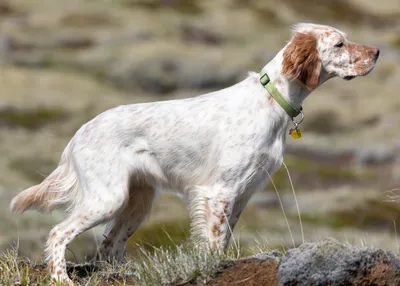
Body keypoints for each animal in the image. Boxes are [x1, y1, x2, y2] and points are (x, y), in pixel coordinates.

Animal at [8, 22, 378, 284]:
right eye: (339, 43)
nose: (376, 52)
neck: (271, 99)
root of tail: (79, 134)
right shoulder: (219, 192)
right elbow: (213, 244)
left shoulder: (242, 195)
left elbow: (223, 242)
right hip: (107, 198)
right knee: (59, 233)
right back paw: (61, 279)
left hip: (138, 202)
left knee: (109, 245)